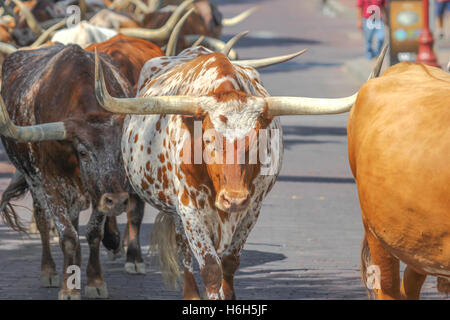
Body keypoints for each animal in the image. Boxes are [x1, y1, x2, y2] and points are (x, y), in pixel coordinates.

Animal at [0, 43, 132, 300]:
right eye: (83, 152)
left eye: (119, 148)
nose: (118, 201)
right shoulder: (51, 184)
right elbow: (68, 237)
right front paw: (68, 289)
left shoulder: (98, 191)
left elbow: (93, 233)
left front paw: (94, 280)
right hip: (34, 180)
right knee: (43, 221)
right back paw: (50, 271)